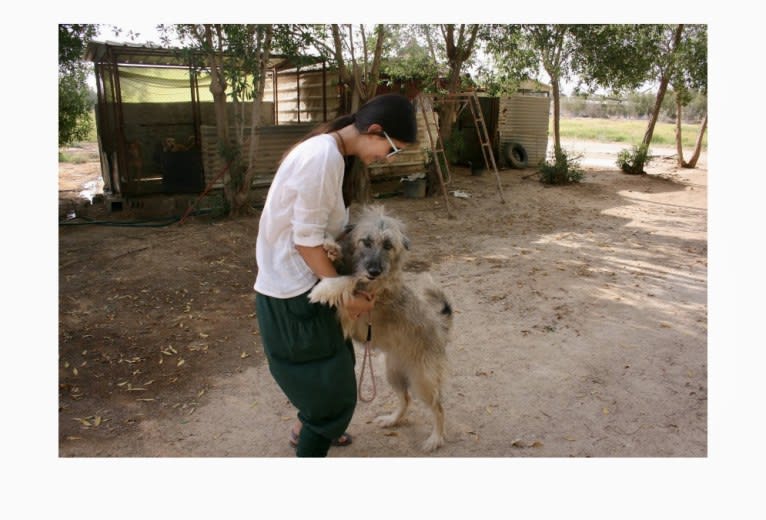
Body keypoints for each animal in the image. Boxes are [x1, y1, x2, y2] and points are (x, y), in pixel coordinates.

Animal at [308, 205, 452, 448]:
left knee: (438, 407)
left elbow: (349, 279)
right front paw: (332, 248)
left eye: (388, 245)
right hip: (392, 373)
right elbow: (345, 270)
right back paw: (392, 420)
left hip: (422, 379)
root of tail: (440, 329)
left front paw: (326, 288)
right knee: (406, 399)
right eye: (366, 241)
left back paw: (435, 438)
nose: (374, 271)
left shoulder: (358, 303)